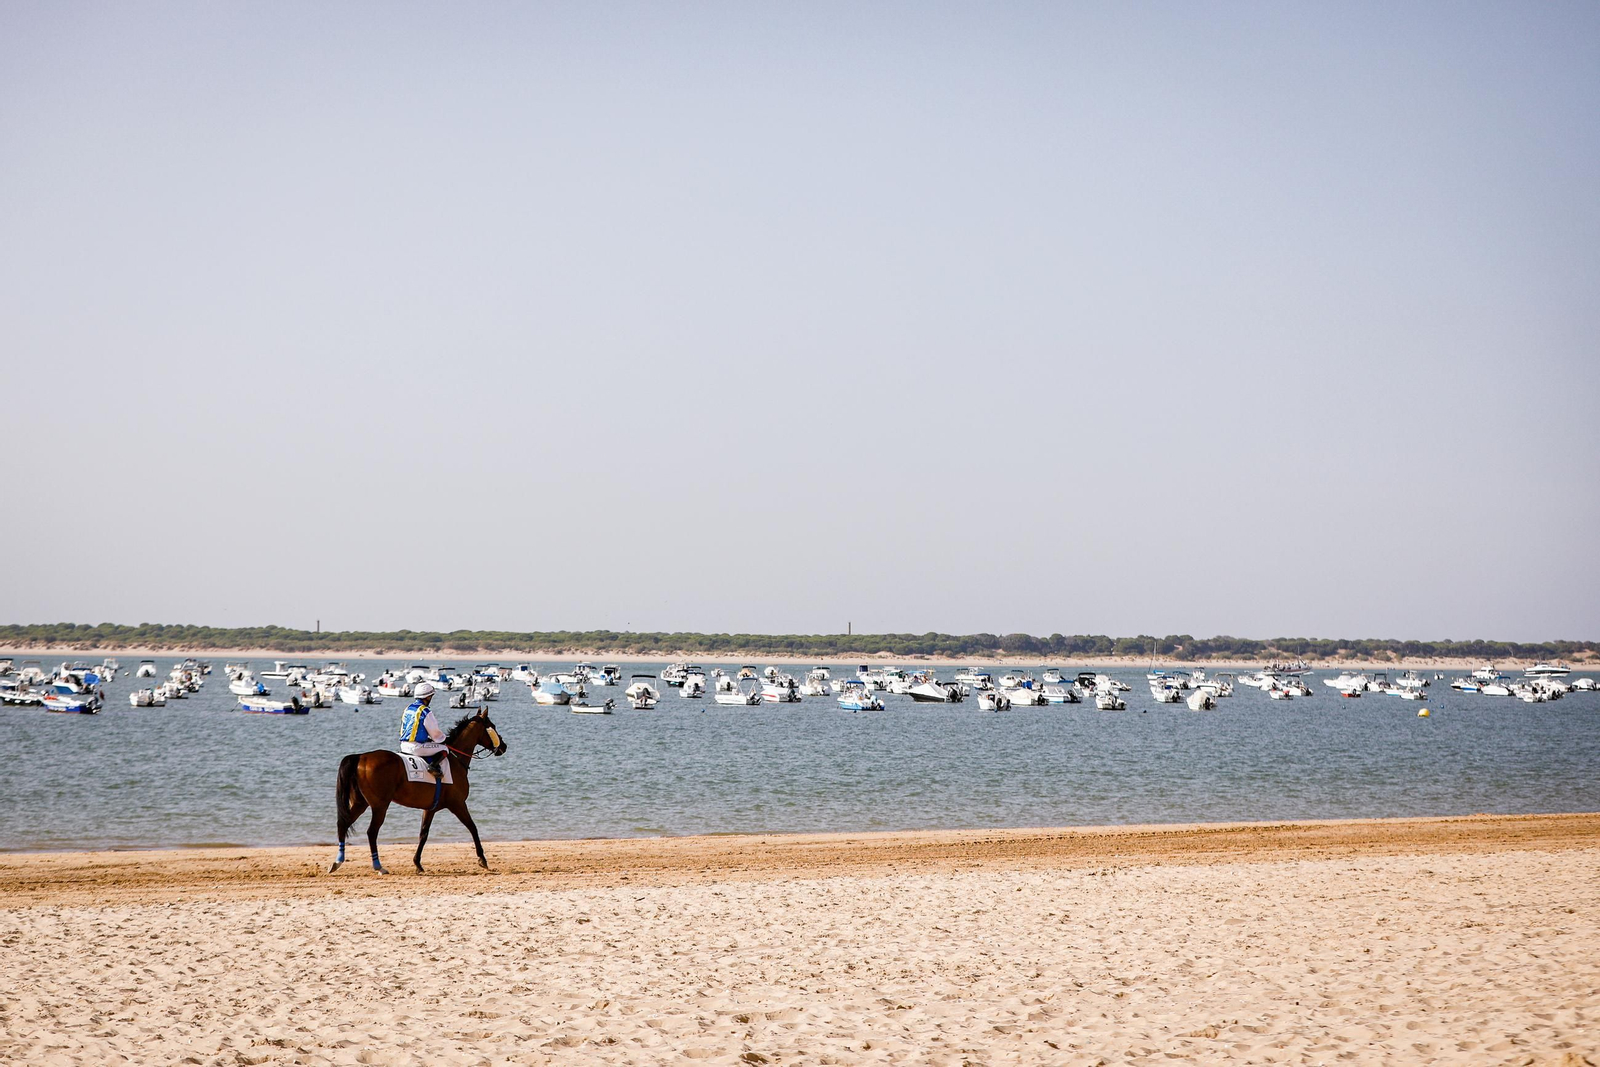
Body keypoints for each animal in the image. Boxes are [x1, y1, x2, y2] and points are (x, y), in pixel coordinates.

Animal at [329, 708, 508, 874]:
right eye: (492, 726)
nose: (504, 746)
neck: (455, 760)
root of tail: (361, 757)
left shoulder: (430, 808)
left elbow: (423, 833)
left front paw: (417, 863)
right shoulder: (458, 804)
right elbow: (473, 827)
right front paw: (482, 859)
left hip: (360, 803)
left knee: (343, 824)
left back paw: (338, 862)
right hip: (379, 806)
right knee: (371, 832)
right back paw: (378, 866)